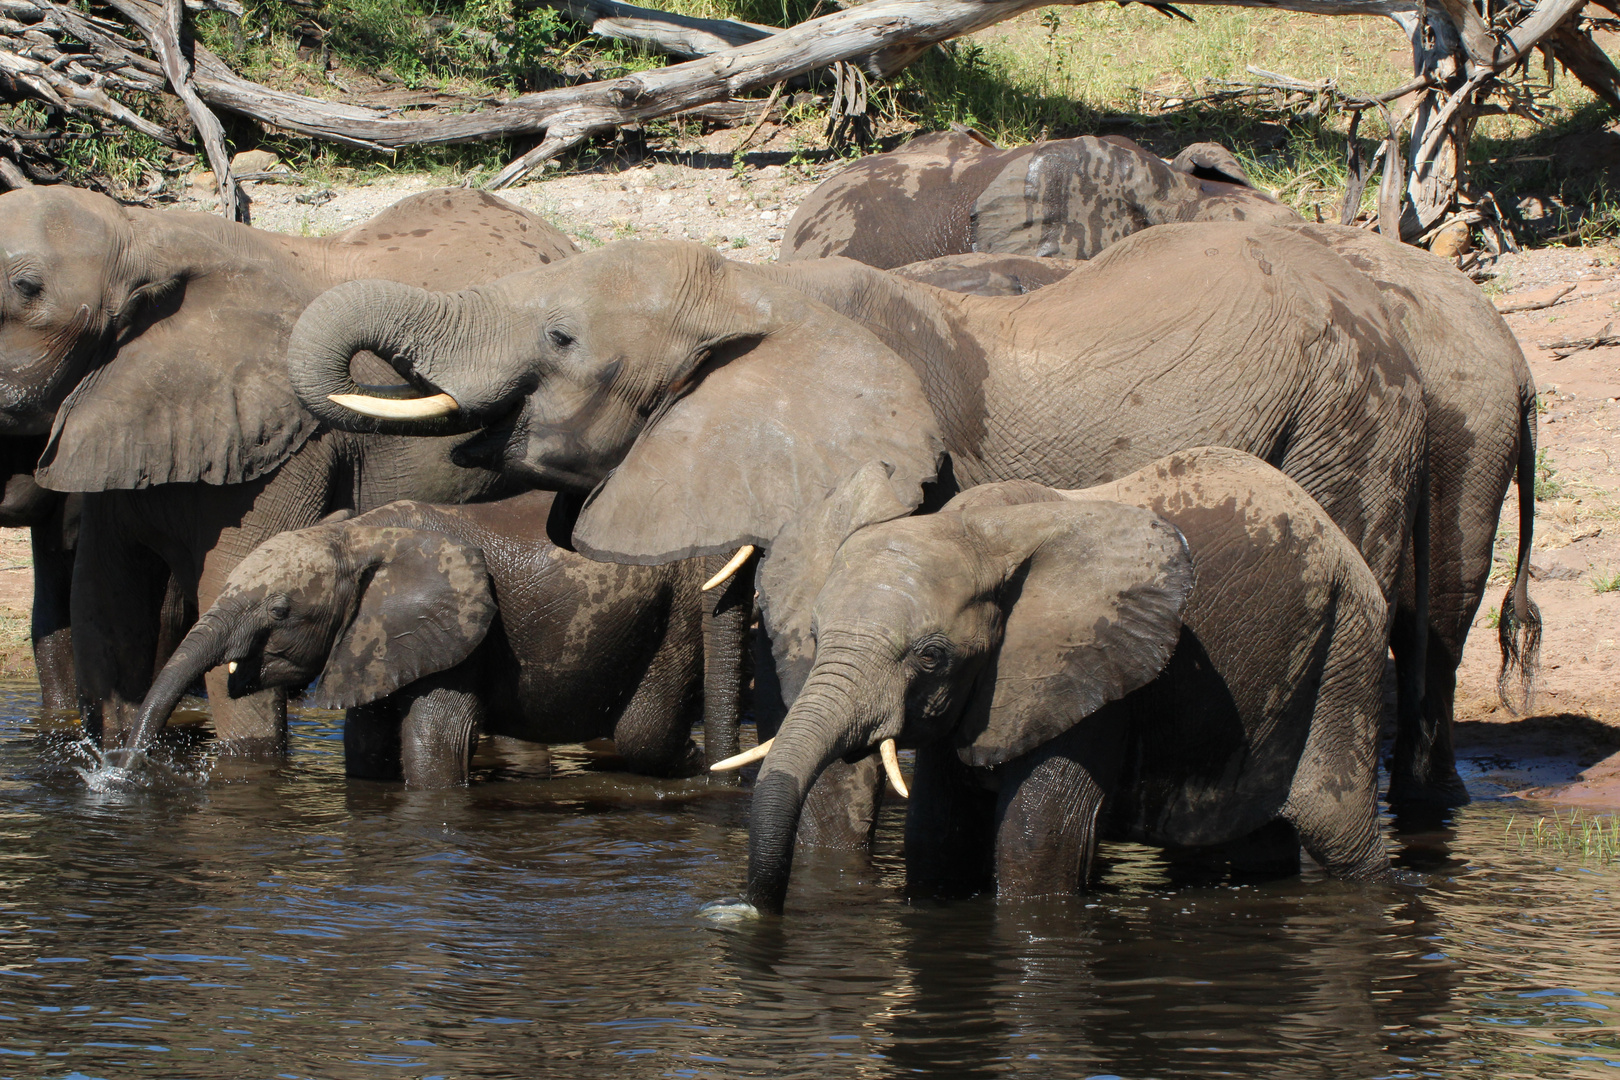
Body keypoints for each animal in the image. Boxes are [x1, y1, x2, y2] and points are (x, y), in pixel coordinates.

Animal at [132, 488, 751, 786]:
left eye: (281, 610)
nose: (123, 772)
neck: (356, 535)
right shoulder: (375, 639)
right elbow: (366, 746)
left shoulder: (462, 634)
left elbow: (436, 740)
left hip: (675, 609)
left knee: (644, 734)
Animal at [741, 446, 1386, 913]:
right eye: (815, 636)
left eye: (931, 656)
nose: (759, 911)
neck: (977, 531)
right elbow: (939, 838)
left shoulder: (1085, 673)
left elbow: (1035, 842)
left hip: (1348, 644)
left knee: (1340, 831)